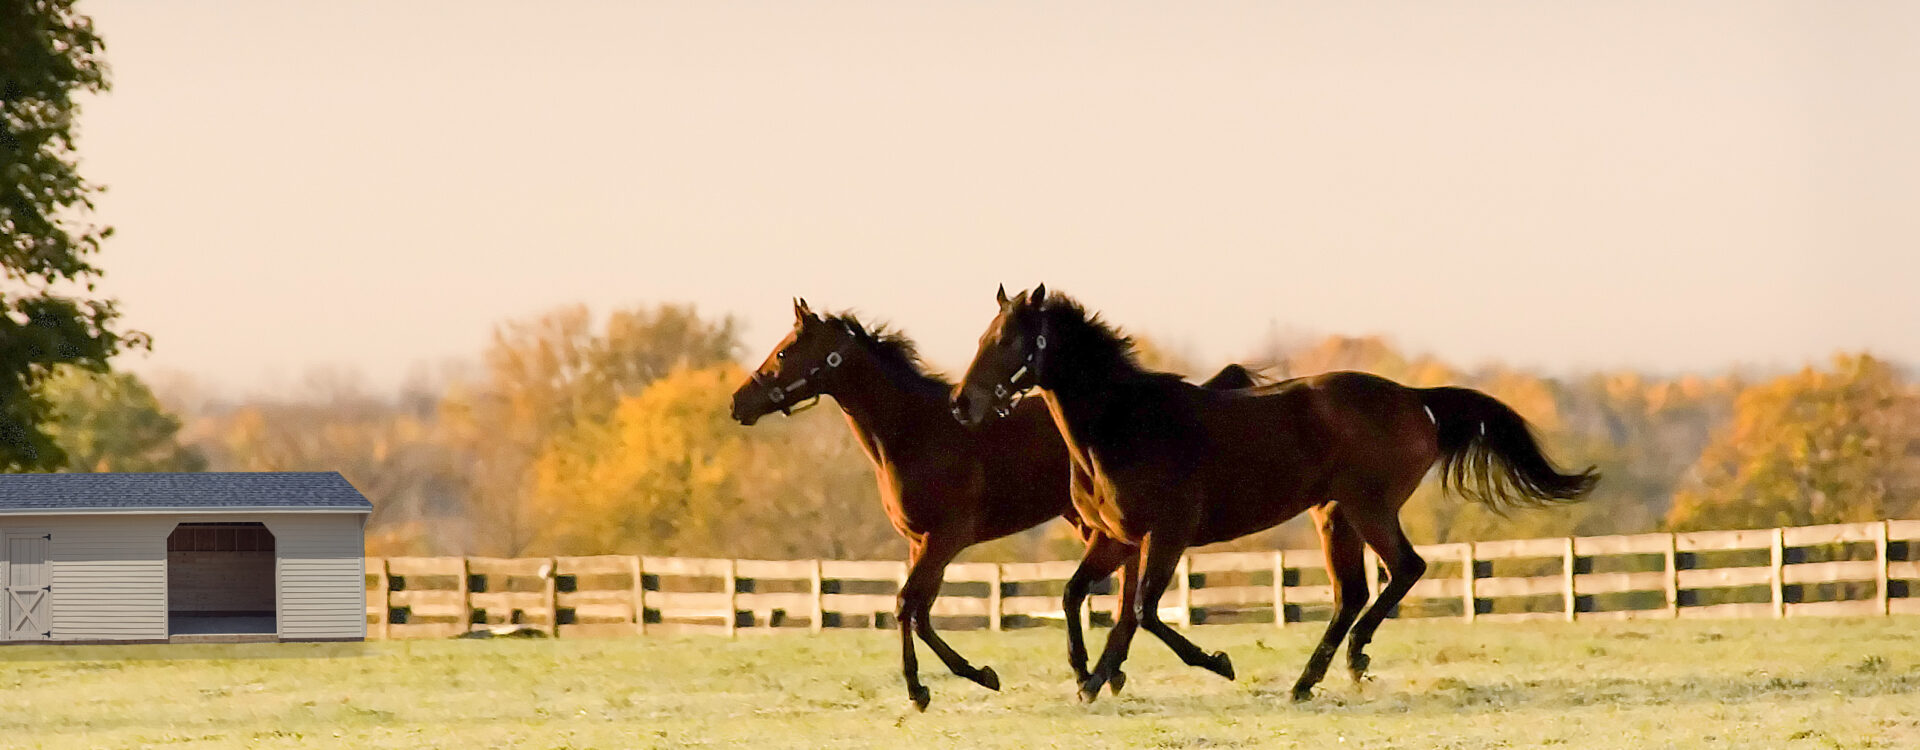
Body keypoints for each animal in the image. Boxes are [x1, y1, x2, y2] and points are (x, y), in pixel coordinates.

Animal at [729, 299, 1259, 709]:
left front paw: (931, 687)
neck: (914, 432)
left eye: (783, 352)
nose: (738, 403)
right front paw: (963, 678)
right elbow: (917, 610)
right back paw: (1109, 672)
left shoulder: (946, 539)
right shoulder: (920, 543)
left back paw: (1106, 672)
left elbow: (907, 606)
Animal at [952, 287, 1597, 705]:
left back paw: (1352, 659)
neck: (1123, 424)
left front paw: (1215, 663)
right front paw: (1089, 674)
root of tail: (1416, 399)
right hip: (1333, 516)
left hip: (1367, 508)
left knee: (1404, 570)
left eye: (1009, 340)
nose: (962, 404)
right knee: (1353, 592)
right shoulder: (1117, 538)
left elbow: (1143, 610)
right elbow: (1076, 595)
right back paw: (1309, 680)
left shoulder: (1167, 534)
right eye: (982, 336)